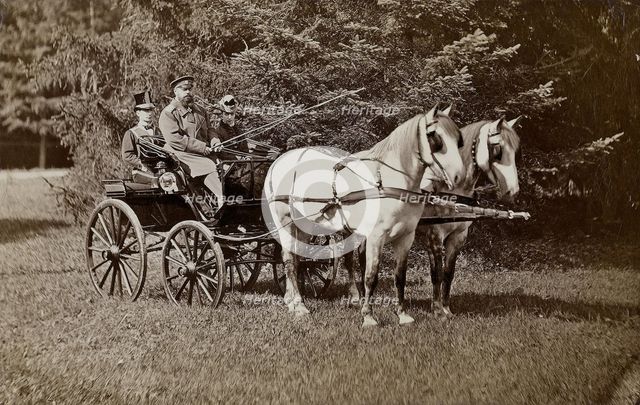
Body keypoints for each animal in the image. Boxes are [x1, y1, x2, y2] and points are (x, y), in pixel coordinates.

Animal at [263, 105, 465, 326]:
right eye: (435, 136)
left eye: (458, 140)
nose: (458, 176)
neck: (389, 181)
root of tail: (279, 161)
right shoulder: (376, 236)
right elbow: (370, 276)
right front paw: (368, 317)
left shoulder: (406, 237)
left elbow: (400, 277)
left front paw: (402, 315)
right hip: (285, 222)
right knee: (289, 261)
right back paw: (299, 305)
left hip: (307, 226)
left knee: (298, 259)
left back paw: (290, 300)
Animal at [422, 116, 522, 320]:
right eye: (498, 150)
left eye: (516, 151)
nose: (512, 193)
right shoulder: (434, 236)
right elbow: (436, 273)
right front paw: (437, 311)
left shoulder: (458, 237)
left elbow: (448, 273)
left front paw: (446, 309)